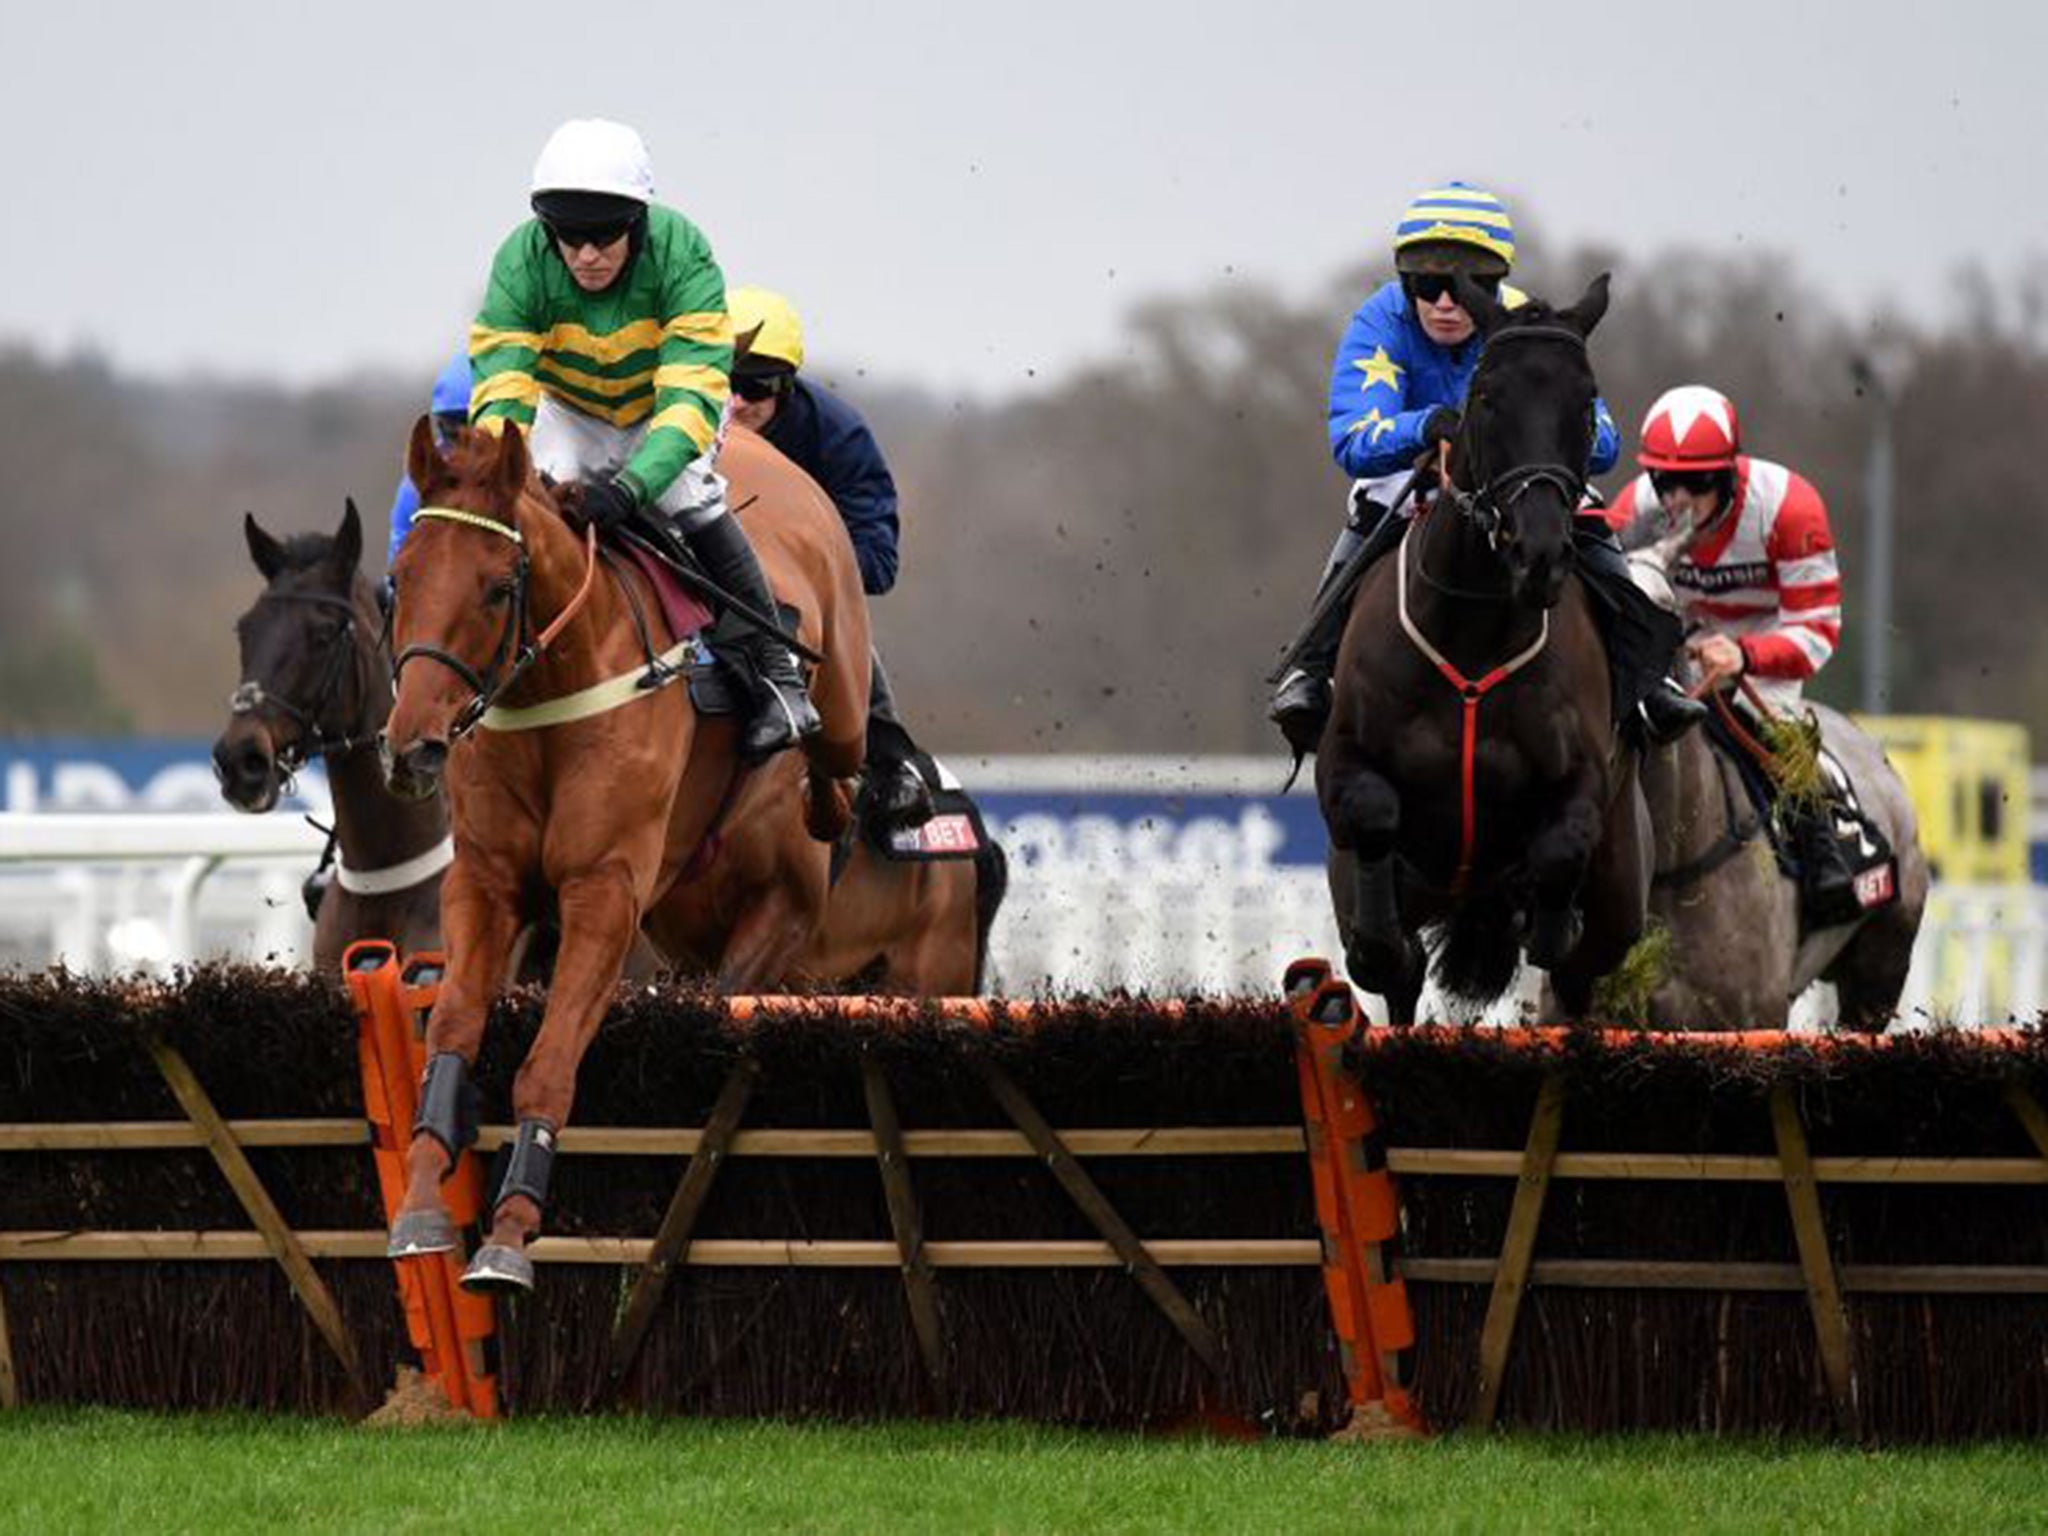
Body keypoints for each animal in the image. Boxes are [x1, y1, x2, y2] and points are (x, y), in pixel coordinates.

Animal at [380, 417, 868, 1286]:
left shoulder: (602, 890)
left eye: (497, 589)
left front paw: (511, 1232)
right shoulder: (484, 882)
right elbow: (453, 1030)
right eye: (400, 581)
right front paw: (424, 1201)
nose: (412, 750)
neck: (553, 690)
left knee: (841, 755)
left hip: (840, 700)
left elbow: (548, 1062)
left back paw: (827, 776)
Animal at [1318, 274, 1654, 1024]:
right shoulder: (1342, 766)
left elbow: (1560, 851)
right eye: (1485, 396)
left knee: (1583, 974)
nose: (1540, 551)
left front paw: (1547, 918)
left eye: (1586, 399)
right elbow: (1372, 824)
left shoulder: (1587, 779)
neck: (1471, 639)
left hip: (1622, 888)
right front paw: (1386, 942)